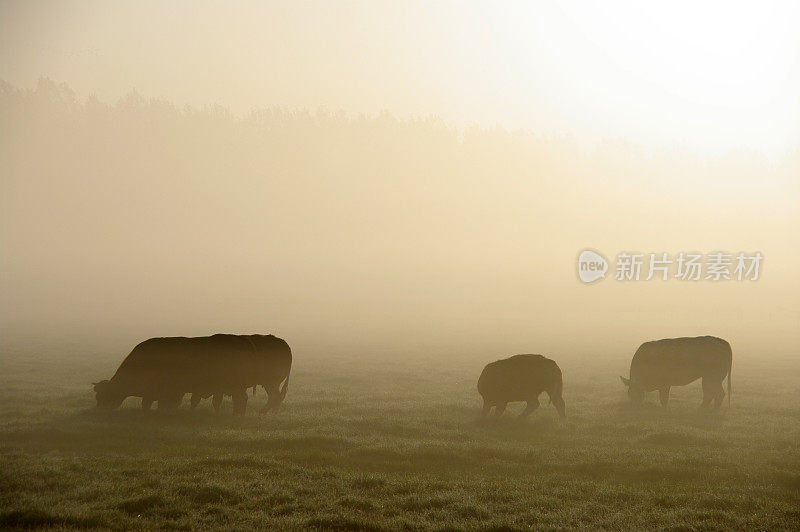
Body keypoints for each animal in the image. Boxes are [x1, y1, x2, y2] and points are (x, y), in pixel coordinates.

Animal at [93, 332, 292, 416]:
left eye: (103, 395)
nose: (99, 409)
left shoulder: (167, 391)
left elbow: (155, 403)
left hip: (260, 383)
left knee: (255, 398)